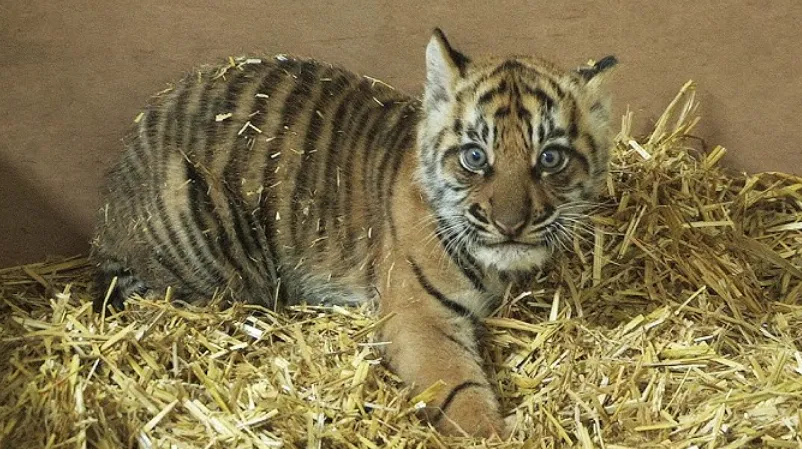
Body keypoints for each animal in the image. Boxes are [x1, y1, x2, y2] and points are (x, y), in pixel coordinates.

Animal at [91, 28, 616, 438]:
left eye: (550, 158)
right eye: (474, 156)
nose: (511, 225)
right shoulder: (419, 316)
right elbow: (459, 389)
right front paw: (493, 434)